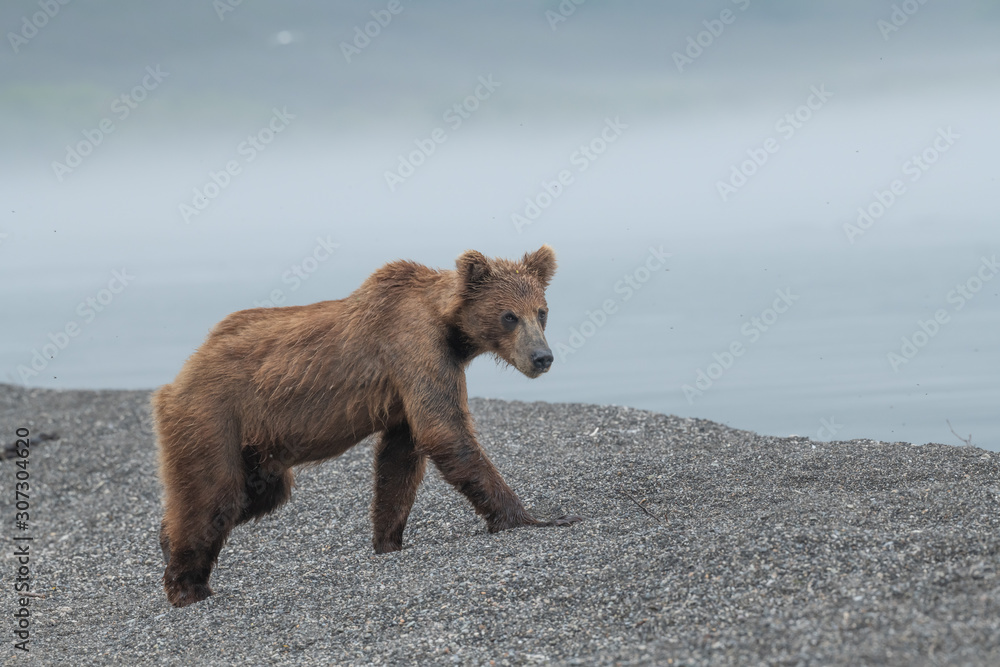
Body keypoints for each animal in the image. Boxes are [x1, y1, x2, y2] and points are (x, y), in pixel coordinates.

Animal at [152, 245, 582, 607]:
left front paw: (388, 540)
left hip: (255, 447)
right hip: (214, 415)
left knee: (256, 494)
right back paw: (186, 585)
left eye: (541, 311)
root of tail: (181, 373)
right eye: (509, 316)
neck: (452, 331)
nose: (542, 357)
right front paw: (538, 517)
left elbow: (400, 459)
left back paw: (166, 539)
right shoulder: (415, 348)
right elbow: (444, 432)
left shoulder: (406, 388)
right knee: (217, 494)